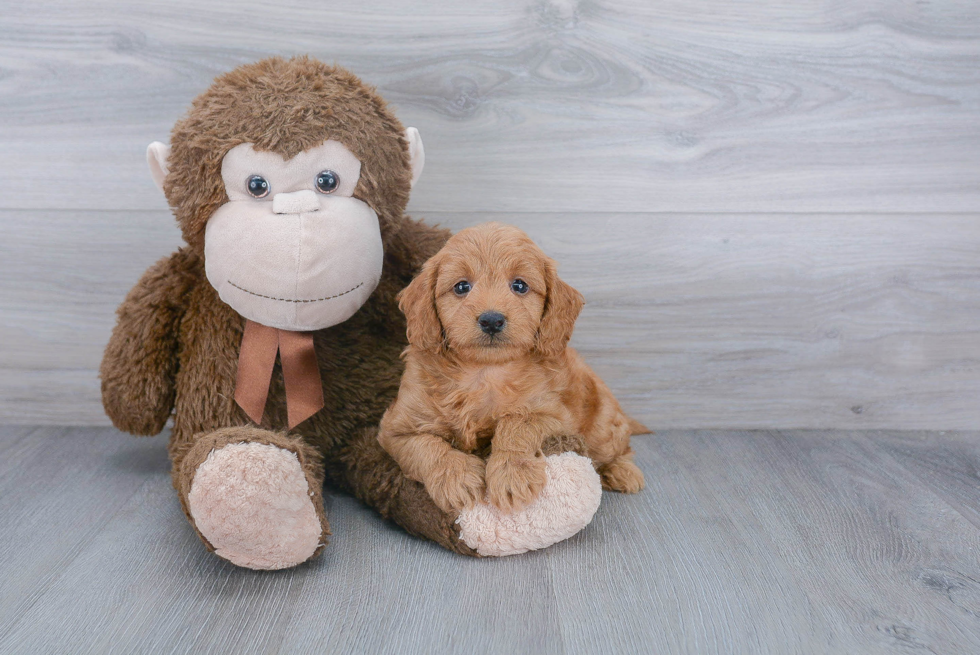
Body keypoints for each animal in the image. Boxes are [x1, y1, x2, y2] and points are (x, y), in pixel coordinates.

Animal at [378, 223, 648, 516]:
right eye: (461, 286)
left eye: (519, 285)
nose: (491, 320)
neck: (484, 372)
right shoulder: (395, 429)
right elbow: (425, 446)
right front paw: (456, 477)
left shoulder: (556, 415)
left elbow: (517, 423)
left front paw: (511, 474)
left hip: (602, 427)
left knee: (620, 448)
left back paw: (623, 471)